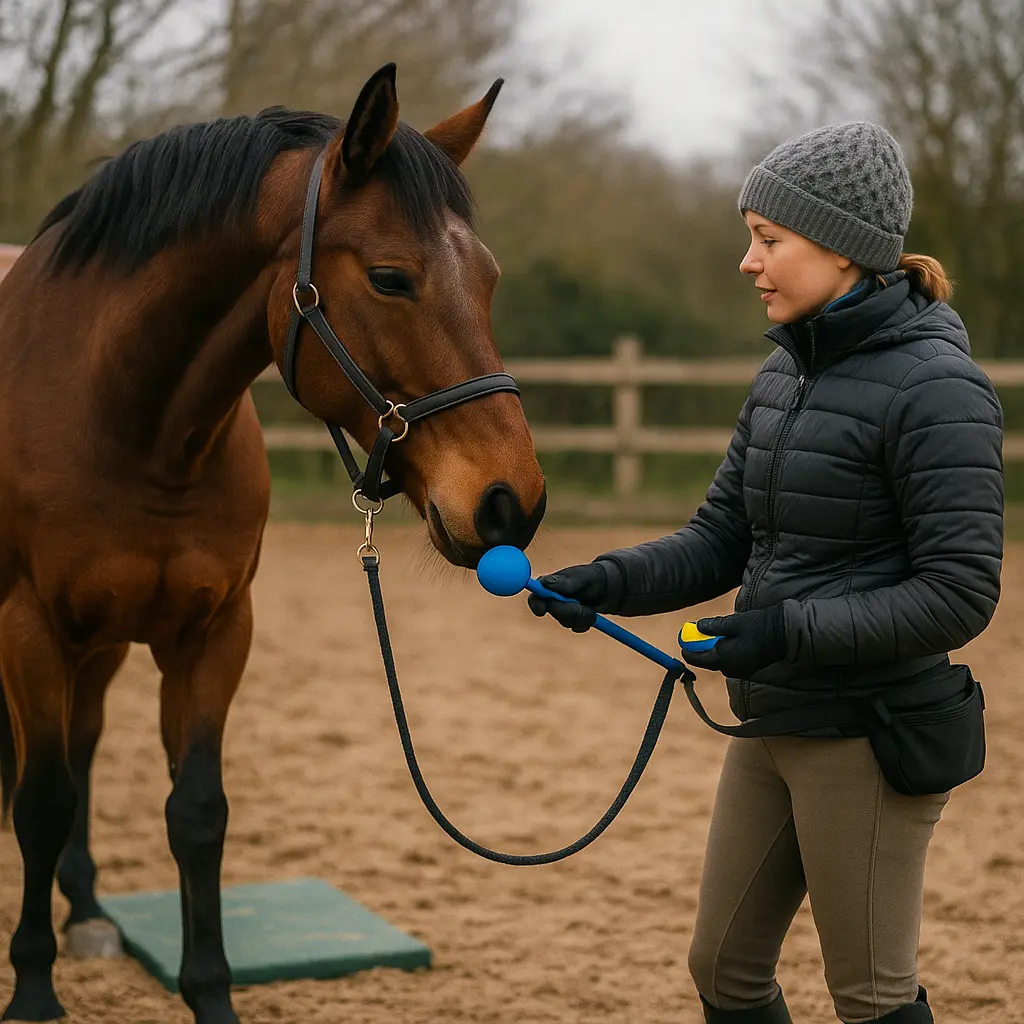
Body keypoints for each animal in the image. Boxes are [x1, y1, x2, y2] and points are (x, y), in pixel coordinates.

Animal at [0, 63, 546, 1024]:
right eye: (390, 277)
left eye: (485, 278)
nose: (509, 502)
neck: (131, 425)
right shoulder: (30, 630)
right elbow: (40, 801)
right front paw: (32, 988)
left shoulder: (212, 635)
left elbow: (196, 813)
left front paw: (209, 992)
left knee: (86, 743)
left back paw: (90, 911)